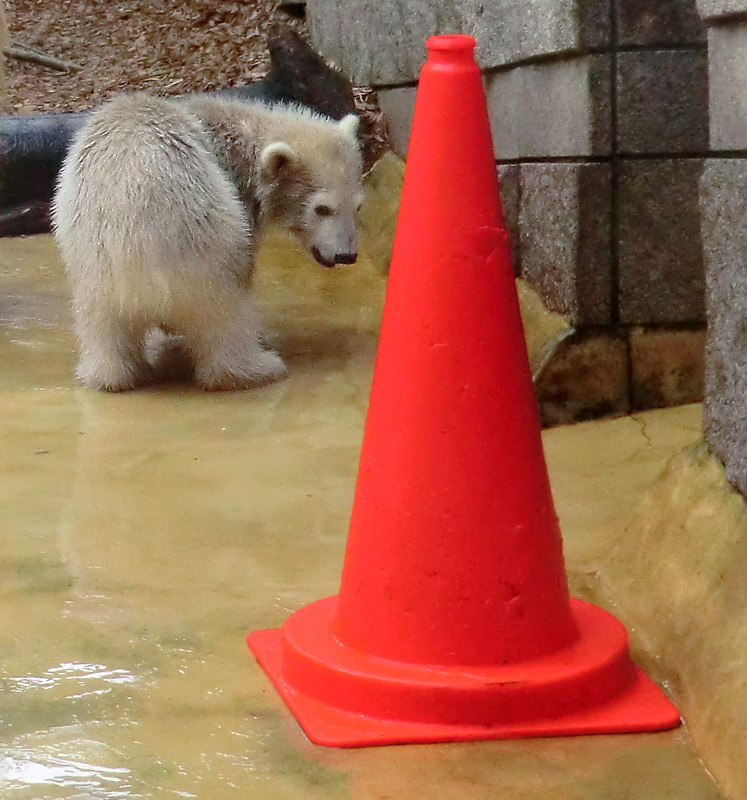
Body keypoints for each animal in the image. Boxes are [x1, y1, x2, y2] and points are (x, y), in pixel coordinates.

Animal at [51, 94, 362, 390]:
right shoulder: (238, 193)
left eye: (358, 206)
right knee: (225, 315)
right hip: (209, 250)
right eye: (322, 209)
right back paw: (259, 367)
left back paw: (109, 376)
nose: (346, 255)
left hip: (94, 268)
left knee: (103, 330)